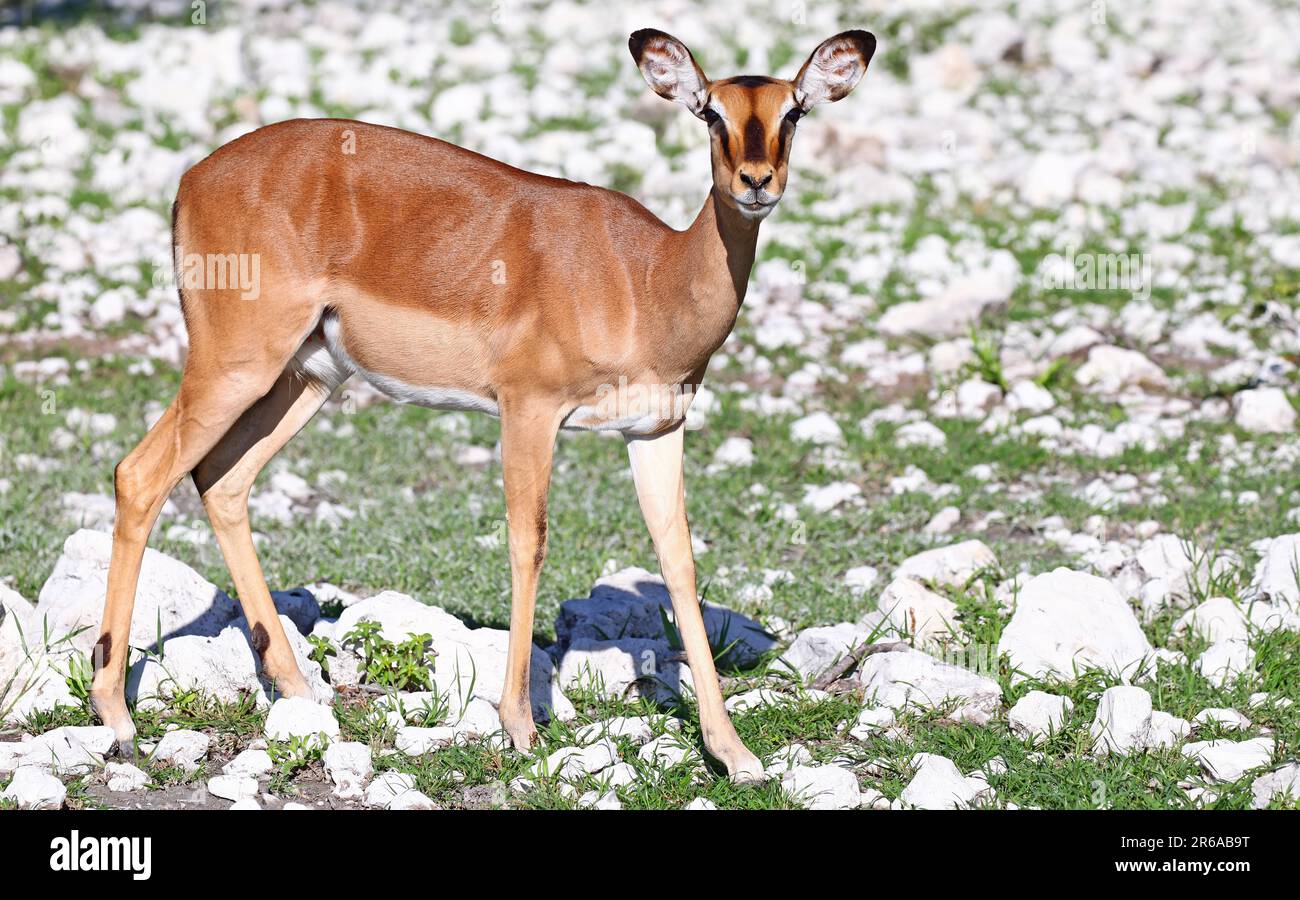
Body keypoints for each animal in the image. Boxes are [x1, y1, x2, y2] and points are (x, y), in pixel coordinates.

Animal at [89, 27, 875, 782]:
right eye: (711, 112)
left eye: (794, 112)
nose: (756, 182)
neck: (646, 278)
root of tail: (192, 180)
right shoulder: (529, 409)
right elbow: (529, 543)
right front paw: (522, 726)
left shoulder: (656, 430)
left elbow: (678, 560)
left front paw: (735, 756)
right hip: (234, 365)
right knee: (141, 475)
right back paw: (118, 718)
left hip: (304, 379)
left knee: (221, 483)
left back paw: (301, 694)